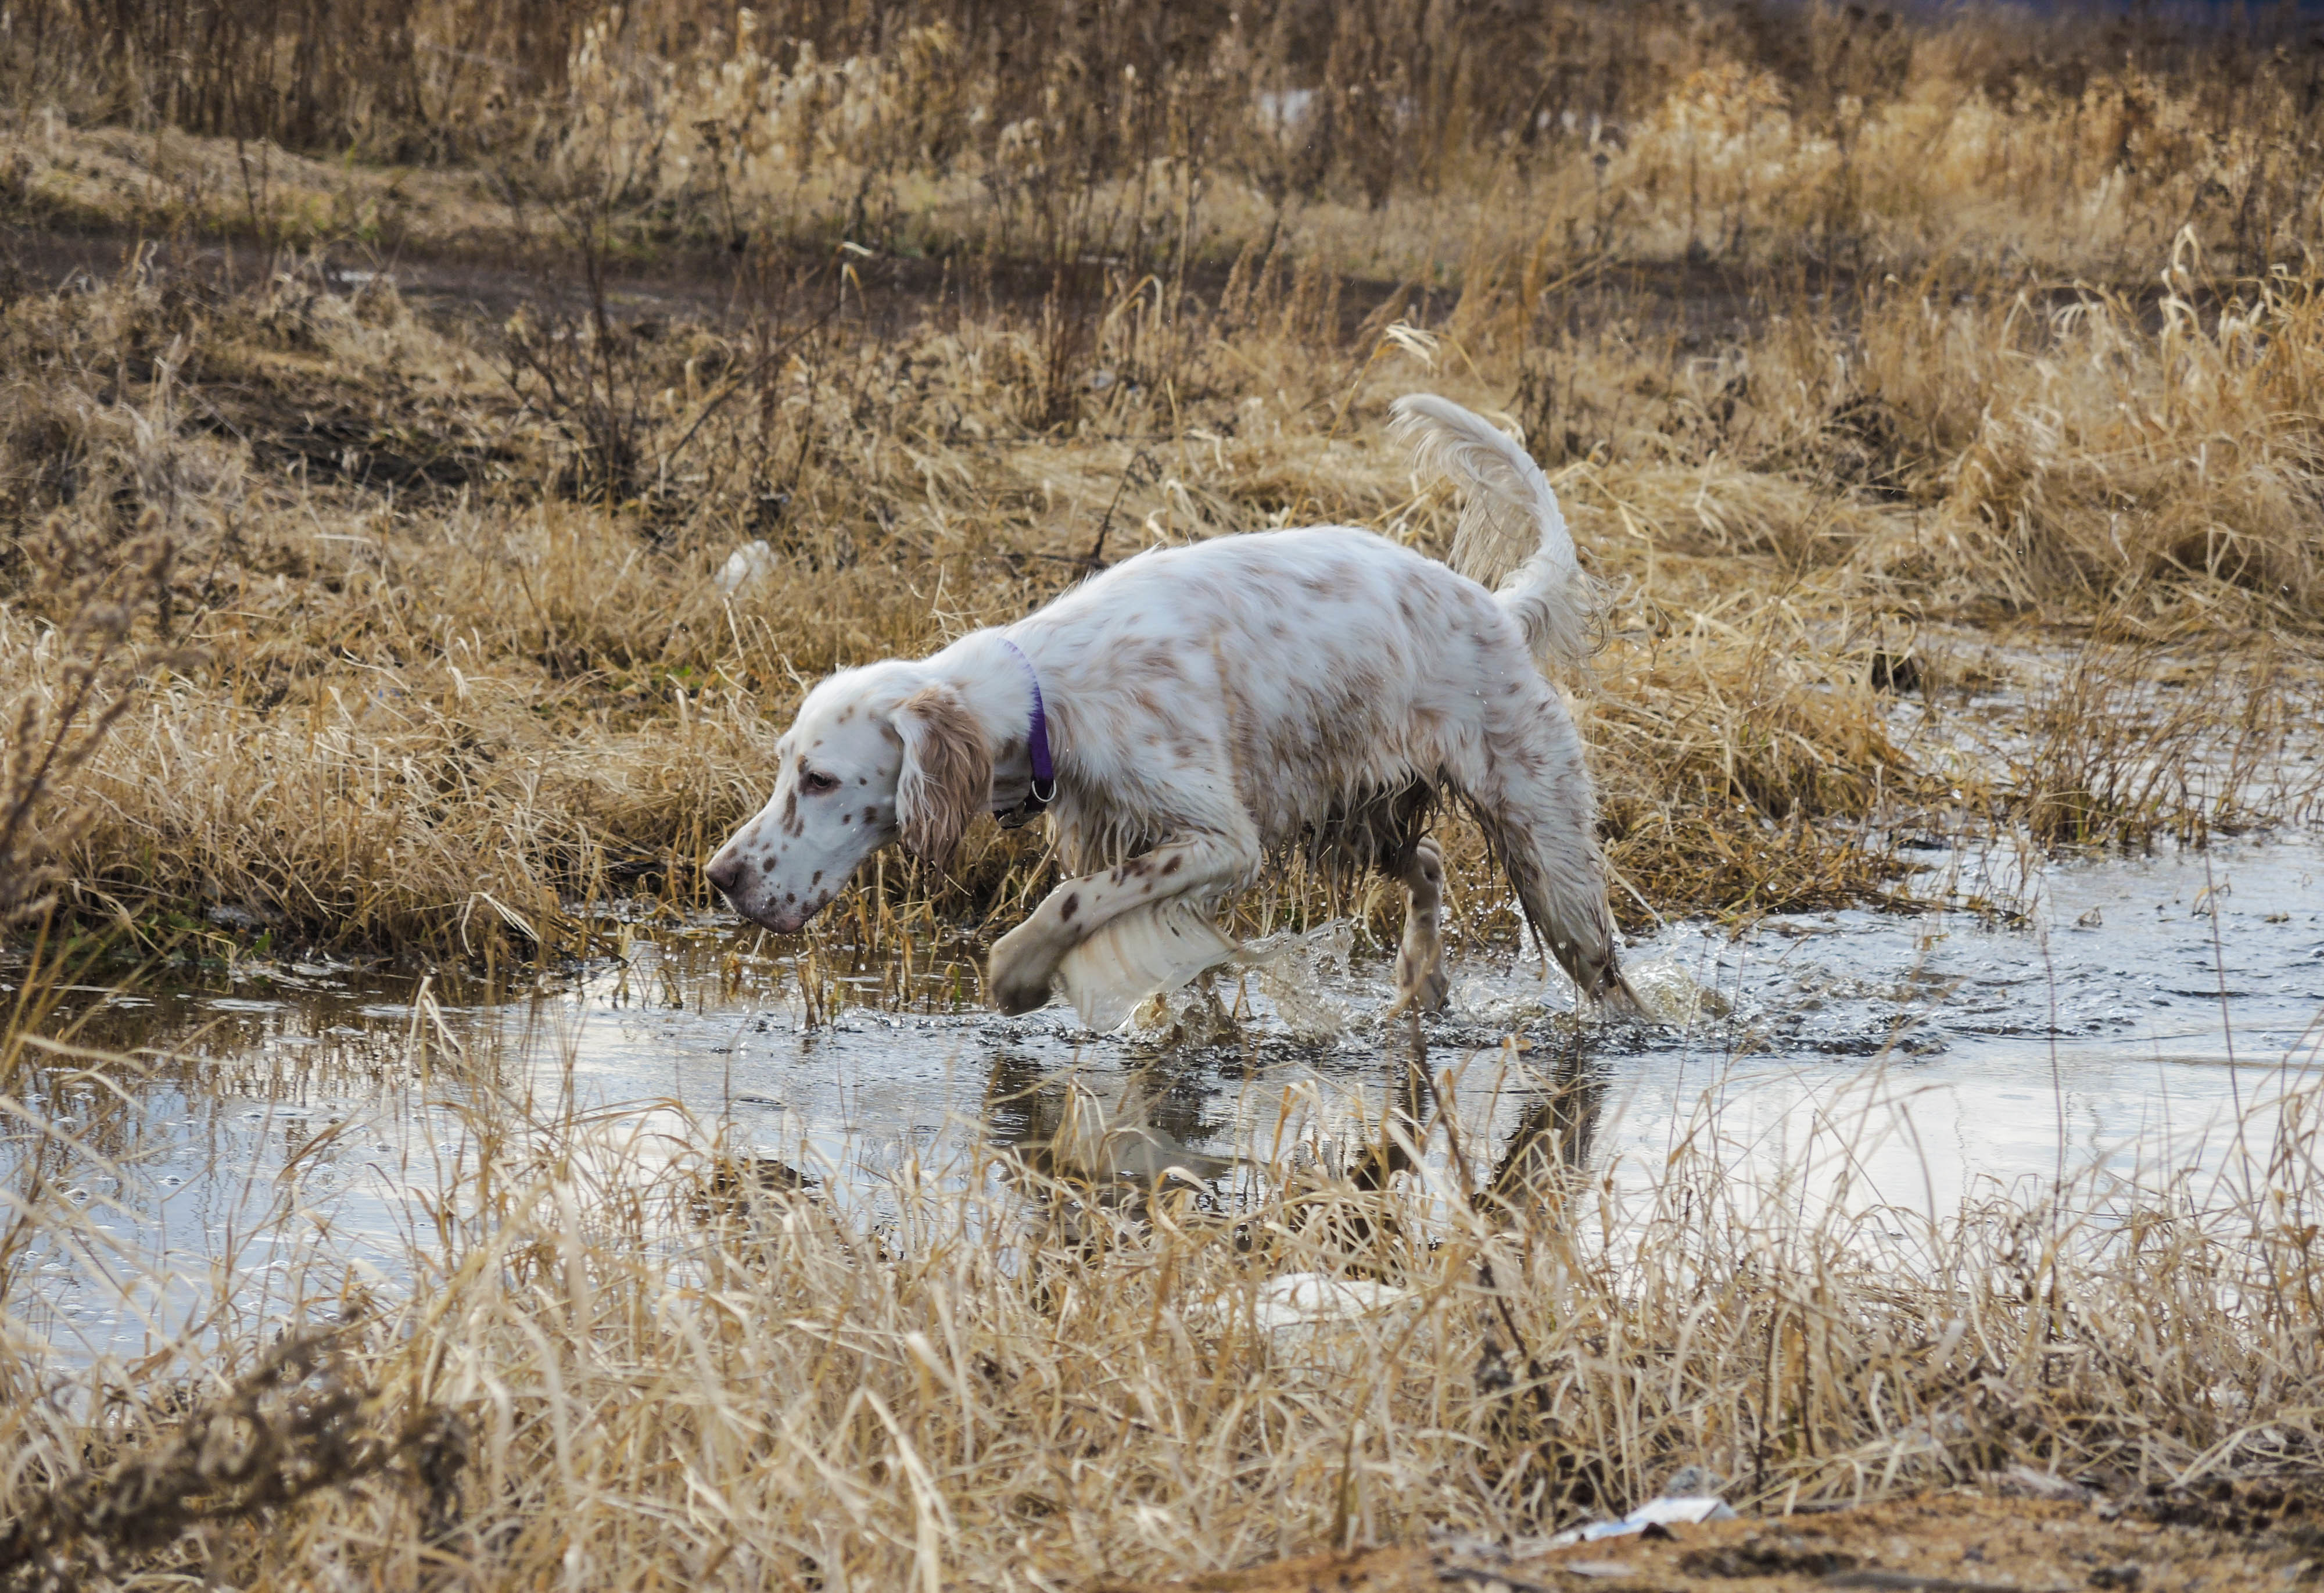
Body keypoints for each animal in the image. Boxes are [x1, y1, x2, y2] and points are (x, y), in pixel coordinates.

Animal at [706, 398, 1636, 1018]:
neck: (1051, 695)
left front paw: (1018, 972)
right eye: (786, 769)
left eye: (821, 780)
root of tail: (1500, 610)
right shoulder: (1133, 833)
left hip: (1545, 849)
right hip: (1358, 817)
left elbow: (1072, 900)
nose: (721, 877)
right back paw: (1421, 983)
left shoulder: (1222, 840)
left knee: (1599, 965)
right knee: (1432, 860)